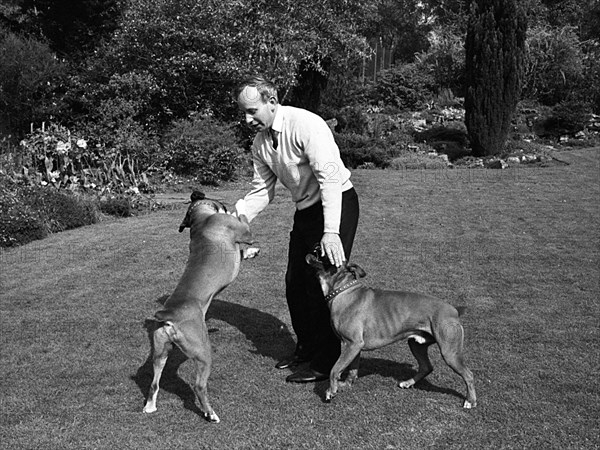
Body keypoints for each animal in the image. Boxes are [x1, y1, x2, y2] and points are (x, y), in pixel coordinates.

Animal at [144, 192, 256, 422]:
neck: (200, 219)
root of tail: (169, 315)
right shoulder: (244, 232)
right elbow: (243, 220)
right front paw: (240, 208)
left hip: (160, 353)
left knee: (154, 383)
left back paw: (150, 406)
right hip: (203, 354)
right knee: (198, 386)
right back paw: (210, 413)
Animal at [308, 251, 476, 410]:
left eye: (325, 255)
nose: (316, 246)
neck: (342, 291)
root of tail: (454, 310)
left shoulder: (352, 344)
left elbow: (334, 369)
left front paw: (331, 390)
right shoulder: (354, 347)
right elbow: (352, 369)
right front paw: (346, 385)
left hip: (449, 353)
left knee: (468, 374)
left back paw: (470, 401)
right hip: (416, 345)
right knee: (426, 367)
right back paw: (408, 383)